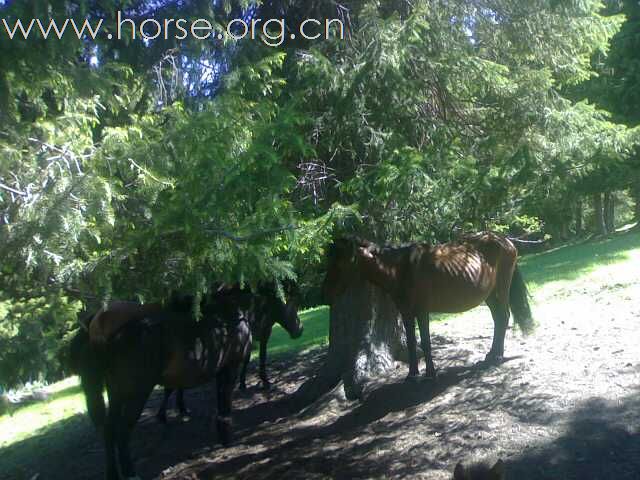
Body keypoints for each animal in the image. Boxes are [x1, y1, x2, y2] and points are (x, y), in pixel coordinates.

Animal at [322, 234, 532, 380]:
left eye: (341, 264)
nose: (325, 292)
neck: (400, 269)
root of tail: (505, 240)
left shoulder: (422, 311)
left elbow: (426, 342)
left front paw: (430, 373)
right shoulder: (406, 313)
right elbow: (412, 342)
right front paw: (412, 374)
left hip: (501, 290)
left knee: (503, 317)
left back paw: (498, 356)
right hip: (489, 295)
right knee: (498, 318)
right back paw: (492, 354)